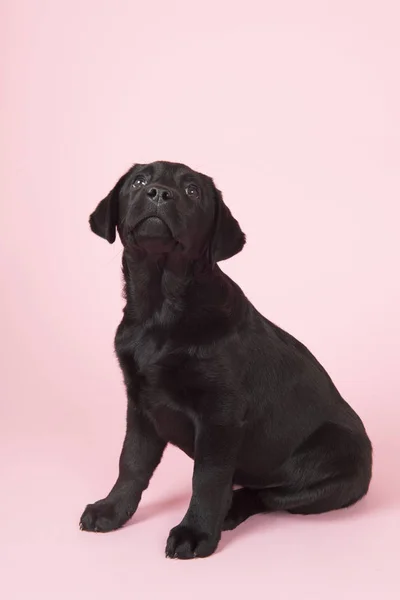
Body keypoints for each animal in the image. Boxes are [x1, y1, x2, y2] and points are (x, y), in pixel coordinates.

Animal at [79, 159, 374, 556]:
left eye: (192, 191)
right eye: (139, 181)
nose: (158, 193)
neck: (162, 308)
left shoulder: (221, 416)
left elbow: (208, 479)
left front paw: (196, 532)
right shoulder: (141, 405)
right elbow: (131, 463)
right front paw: (112, 510)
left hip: (335, 458)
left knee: (268, 496)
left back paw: (230, 512)